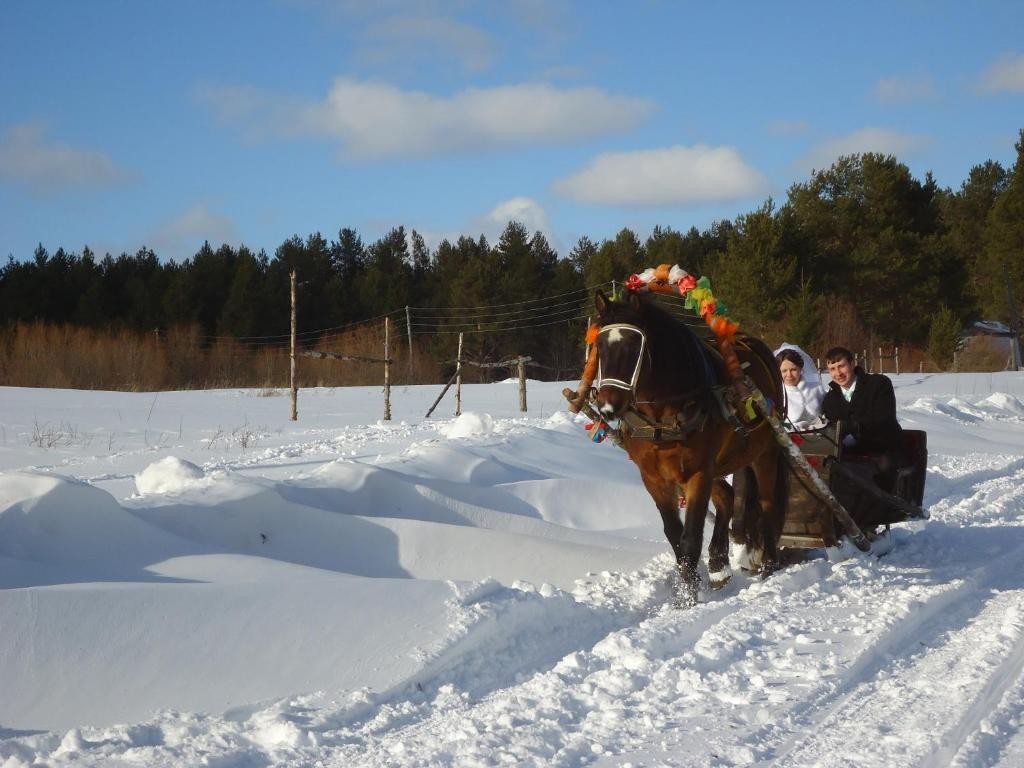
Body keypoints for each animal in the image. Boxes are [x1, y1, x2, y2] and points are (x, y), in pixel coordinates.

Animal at [589, 290, 786, 606]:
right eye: (599, 345)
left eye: (635, 345)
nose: (608, 406)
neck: (662, 418)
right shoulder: (655, 478)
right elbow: (674, 533)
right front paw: (689, 583)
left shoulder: (698, 473)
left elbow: (691, 535)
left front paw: (687, 597)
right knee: (727, 496)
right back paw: (718, 563)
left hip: (763, 453)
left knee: (767, 503)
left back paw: (768, 565)